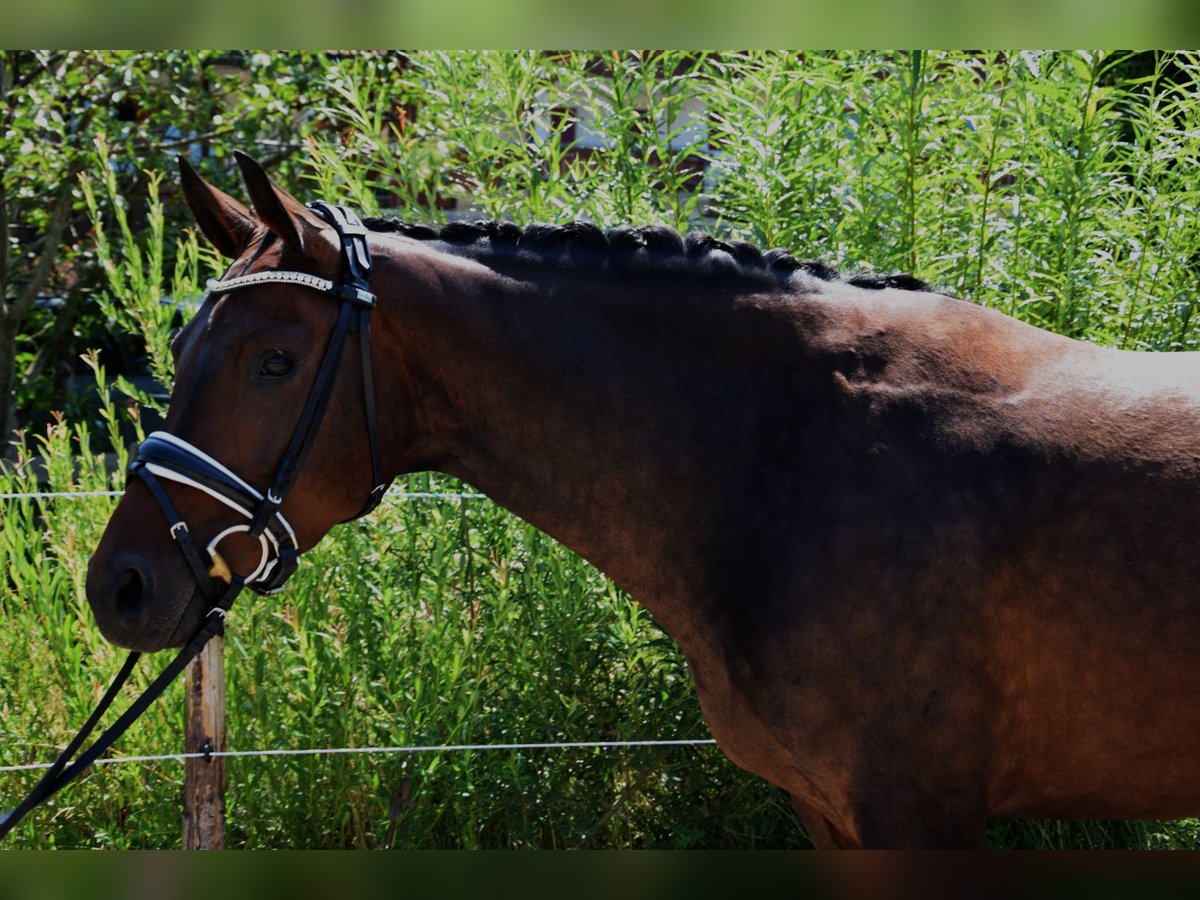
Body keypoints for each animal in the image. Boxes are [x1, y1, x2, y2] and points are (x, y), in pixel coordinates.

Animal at [88, 151, 1200, 849]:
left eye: (275, 361)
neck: (796, 457)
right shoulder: (833, 815)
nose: (121, 586)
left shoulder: (916, 813)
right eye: (182, 346)